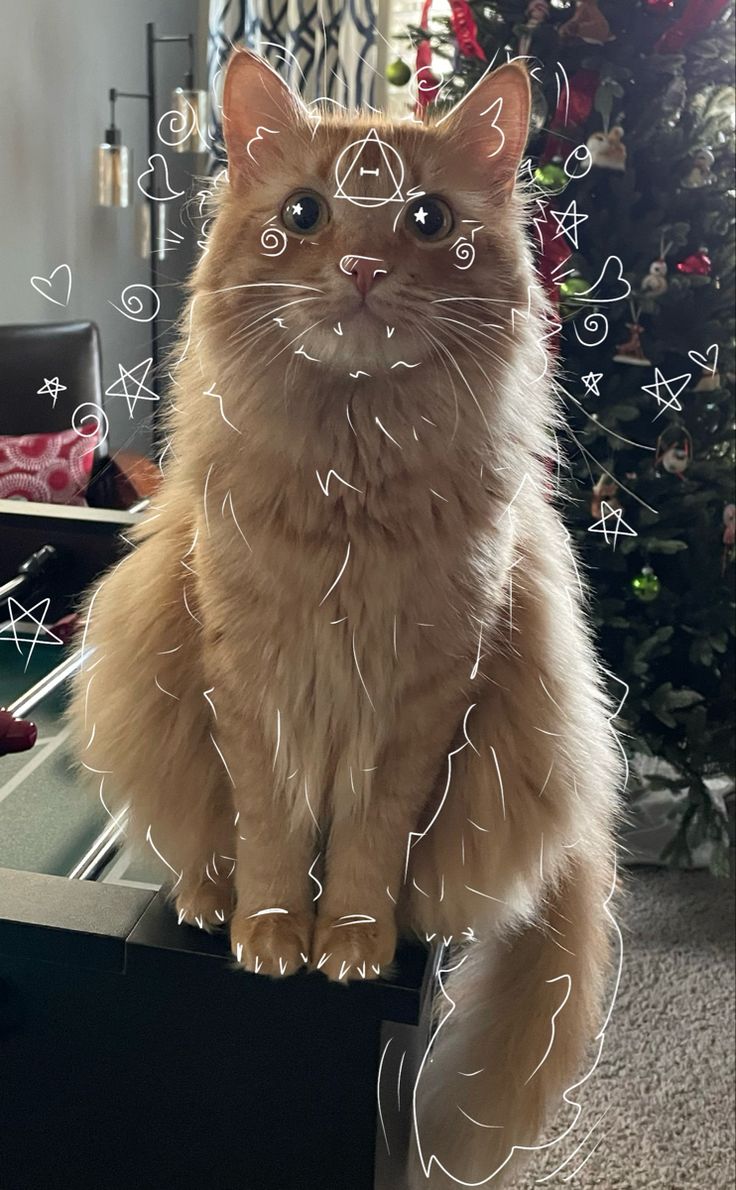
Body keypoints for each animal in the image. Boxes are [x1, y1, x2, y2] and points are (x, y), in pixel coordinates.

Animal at [67, 48, 619, 1190]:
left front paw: (352, 941)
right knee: (205, 845)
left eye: (425, 218)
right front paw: (271, 932)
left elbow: (367, 847)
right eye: (305, 213)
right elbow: (272, 831)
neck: (347, 498)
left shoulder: (425, 699)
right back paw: (206, 894)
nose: (362, 267)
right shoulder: (249, 682)